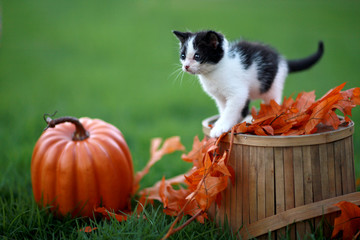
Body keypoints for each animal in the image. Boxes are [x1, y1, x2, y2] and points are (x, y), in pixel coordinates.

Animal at [173, 30, 324, 137]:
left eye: (197, 56)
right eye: (183, 56)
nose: (186, 66)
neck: (214, 72)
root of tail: (282, 61)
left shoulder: (237, 93)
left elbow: (230, 110)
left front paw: (221, 127)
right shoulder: (220, 96)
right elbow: (224, 109)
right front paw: (225, 121)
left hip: (272, 85)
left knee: (273, 102)